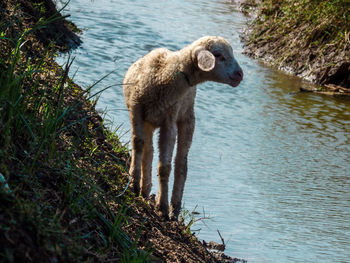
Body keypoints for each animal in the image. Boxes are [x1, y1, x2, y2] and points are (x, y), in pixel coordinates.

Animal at [123, 36, 243, 220]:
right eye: (218, 55)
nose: (240, 74)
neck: (163, 75)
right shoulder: (136, 109)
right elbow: (138, 144)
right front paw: (134, 182)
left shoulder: (169, 121)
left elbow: (165, 167)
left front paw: (162, 206)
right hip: (150, 120)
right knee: (148, 150)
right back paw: (145, 189)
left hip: (187, 119)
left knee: (181, 164)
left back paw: (174, 209)